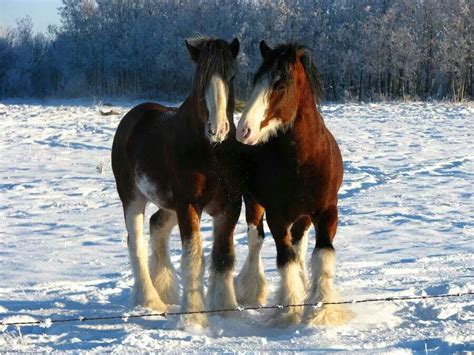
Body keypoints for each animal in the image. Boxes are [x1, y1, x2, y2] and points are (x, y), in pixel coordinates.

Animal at [111, 38, 243, 328]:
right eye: (200, 79)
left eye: (232, 77)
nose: (218, 129)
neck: (212, 154)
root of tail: (133, 116)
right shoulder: (189, 206)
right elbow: (193, 257)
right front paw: (193, 317)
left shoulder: (229, 207)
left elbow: (224, 257)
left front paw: (227, 311)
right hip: (133, 198)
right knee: (136, 242)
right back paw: (150, 300)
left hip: (169, 205)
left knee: (156, 227)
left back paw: (165, 290)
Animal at [235, 41, 354, 328]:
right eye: (256, 80)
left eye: (279, 84)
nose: (244, 130)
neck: (302, 160)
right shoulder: (276, 216)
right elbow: (284, 258)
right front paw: (289, 309)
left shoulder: (326, 212)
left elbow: (321, 257)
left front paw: (322, 310)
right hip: (253, 203)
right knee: (255, 240)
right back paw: (251, 290)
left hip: (303, 216)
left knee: (299, 245)